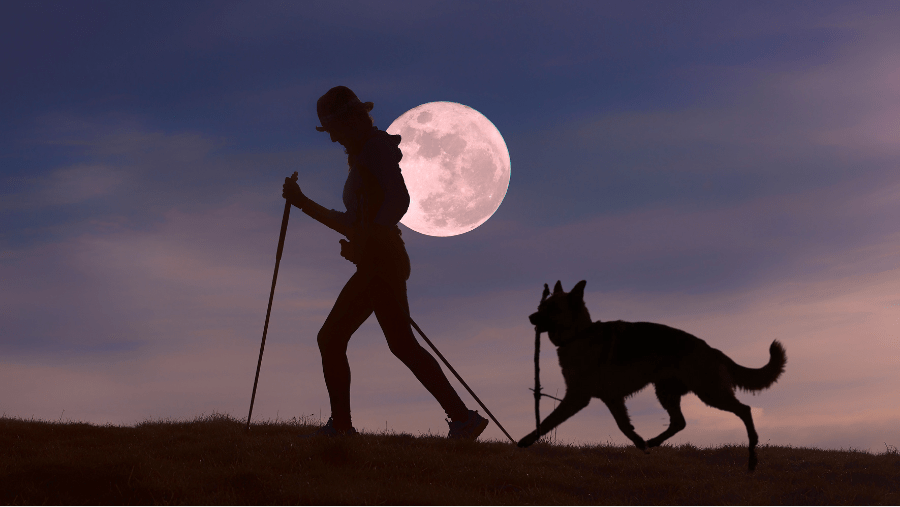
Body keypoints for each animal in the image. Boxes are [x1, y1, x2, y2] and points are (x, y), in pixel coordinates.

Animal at [516, 282, 784, 472]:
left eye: (552, 308)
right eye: (541, 306)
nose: (530, 317)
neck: (579, 334)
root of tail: (712, 350)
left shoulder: (578, 397)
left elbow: (547, 421)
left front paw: (525, 441)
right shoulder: (612, 399)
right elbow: (624, 426)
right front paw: (640, 443)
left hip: (709, 392)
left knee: (744, 410)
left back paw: (753, 453)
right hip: (666, 392)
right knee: (680, 422)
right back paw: (654, 442)